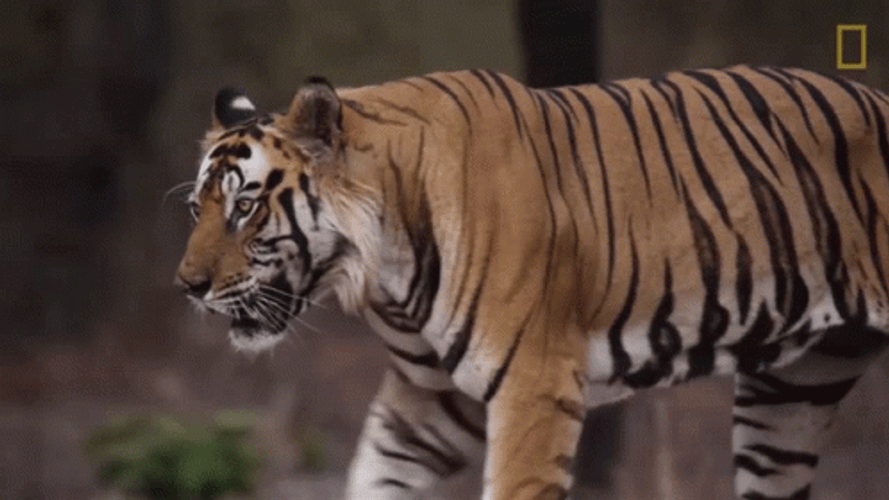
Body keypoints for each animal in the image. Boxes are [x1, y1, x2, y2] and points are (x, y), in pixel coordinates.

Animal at [174, 65, 889, 500]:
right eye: (197, 209)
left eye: (244, 207)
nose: (188, 286)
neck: (380, 276)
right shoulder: (430, 398)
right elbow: (375, 474)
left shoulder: (535, 384)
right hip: (791, 392)